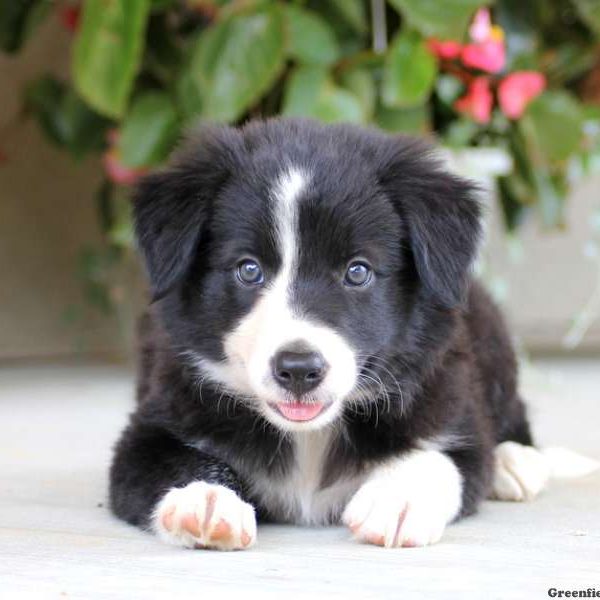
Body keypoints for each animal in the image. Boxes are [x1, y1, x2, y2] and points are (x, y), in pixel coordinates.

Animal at [109, 117, 548, 548]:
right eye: (249, 269)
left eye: (357, 271)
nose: (298, 369)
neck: (309, 438)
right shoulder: (151, 427)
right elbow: (173, 461)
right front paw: (204, 499)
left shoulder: (451, 408)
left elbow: (440, 456)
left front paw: (396, 499)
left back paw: (517, 462)